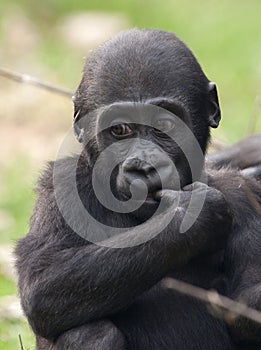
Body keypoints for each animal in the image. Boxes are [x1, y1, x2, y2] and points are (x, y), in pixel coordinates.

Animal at [14, 30, 260, 350]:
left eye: (164, 125)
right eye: (120, 130)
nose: (144, 167)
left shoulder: (247, 195)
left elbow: (246, 306)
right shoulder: (60, 187)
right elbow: (42, 283)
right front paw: (185, 216)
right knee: (91, 331)